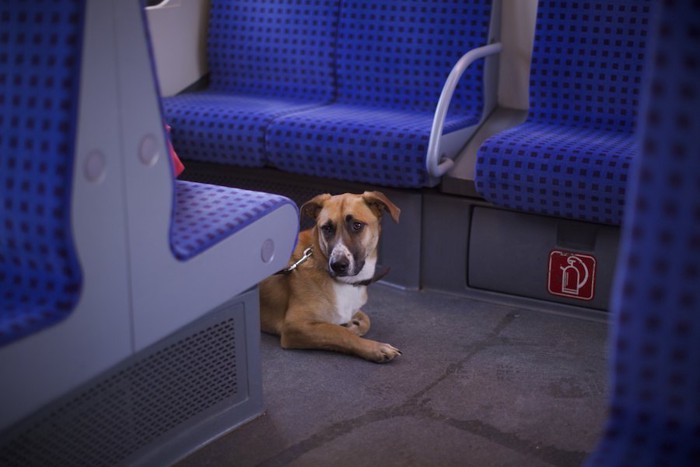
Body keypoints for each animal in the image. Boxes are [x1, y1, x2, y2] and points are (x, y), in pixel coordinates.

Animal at [260, 192, 402, 364]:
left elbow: (366, 320)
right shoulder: (295, 325)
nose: (338, 265)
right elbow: (340, 333)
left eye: (357, 225)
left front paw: (354, 326)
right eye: (327, 228)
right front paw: (374, 347)